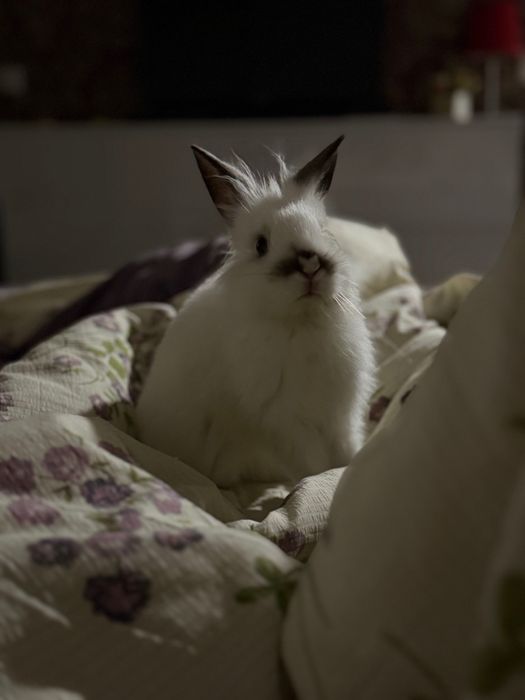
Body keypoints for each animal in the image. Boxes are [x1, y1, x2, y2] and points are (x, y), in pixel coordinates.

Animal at [136, 136, 376, 487]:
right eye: (261, 245)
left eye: (323, 230)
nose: (310, 265)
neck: (300, 322)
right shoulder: (287, 425)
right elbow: (310, 464)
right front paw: (317, 481)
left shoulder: (341, 418)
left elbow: (347, 450)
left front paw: (347, 467)